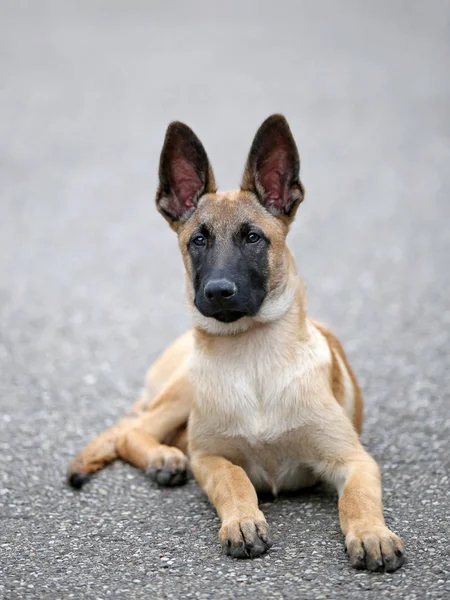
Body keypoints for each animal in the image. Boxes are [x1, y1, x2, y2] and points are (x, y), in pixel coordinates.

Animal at [68, 113, 406, 572]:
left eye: (253, 238)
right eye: (198, 240)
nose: (218, 292)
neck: (254, 360)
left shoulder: (354, 459)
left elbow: (356, 498)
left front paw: (372, 533)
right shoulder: (209, 457)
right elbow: (236, 479)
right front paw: (244, 521)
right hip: (183, 390)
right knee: (131, 432)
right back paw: (161, 458)